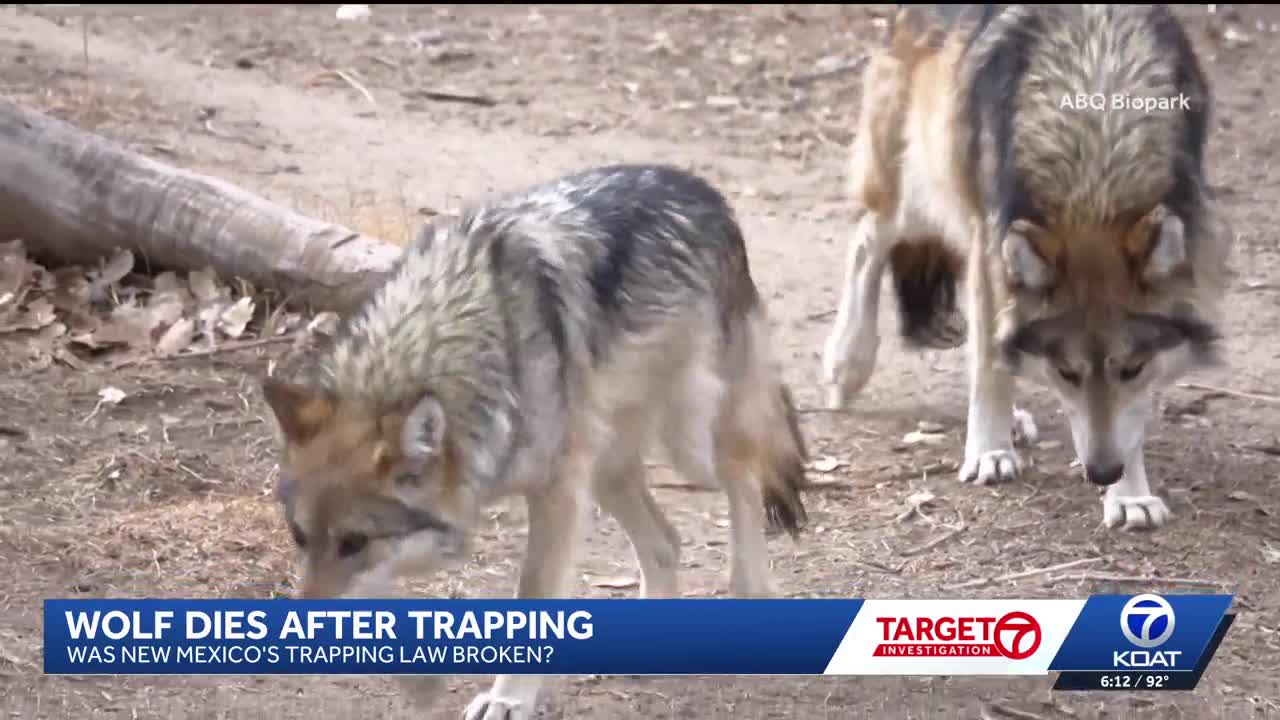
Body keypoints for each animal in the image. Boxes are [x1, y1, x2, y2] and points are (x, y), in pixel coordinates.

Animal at [259, 164, 809, 719]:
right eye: (300, 537)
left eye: (354, 542)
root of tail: (703, 189)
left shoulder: (558, 493)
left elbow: (533, 591)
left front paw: (509, 697)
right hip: (607, 466)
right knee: (667, 541)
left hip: (688, 438)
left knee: (746, 473)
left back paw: (751, 588)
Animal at [819, 5, 1229, 531]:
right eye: (1066, 372)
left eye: (1132, 368)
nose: (1102, 471)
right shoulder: (989, 239)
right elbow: (989, 363)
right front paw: (989, 452)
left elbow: (1129, 415)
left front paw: (1130, 494)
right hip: (922, 187)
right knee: (868, 237)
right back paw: (846, 364)